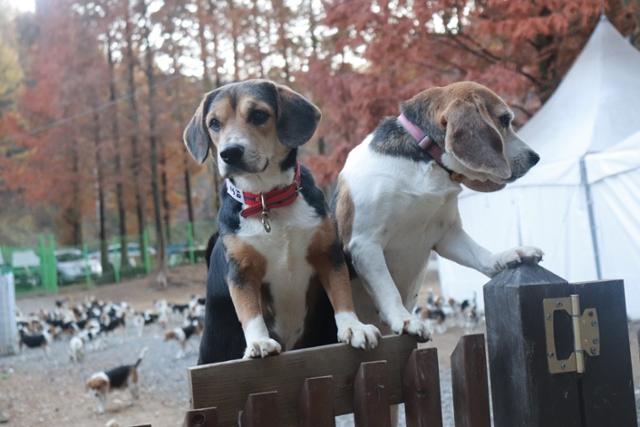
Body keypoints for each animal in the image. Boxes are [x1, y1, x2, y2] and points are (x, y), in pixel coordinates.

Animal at [181, 78, 380, 362]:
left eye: (258, 115)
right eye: (214, 123)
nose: (229, 153)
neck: (267, 199)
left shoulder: (328, 254)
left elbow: (342, 293)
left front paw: (353, 327)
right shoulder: (242, 272)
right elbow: (250, 311)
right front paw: (259, 342)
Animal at [336, 81, 544, 342]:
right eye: (505, 119)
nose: (535, 157)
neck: (424, 159)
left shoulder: (446, 235)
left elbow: (481, 255)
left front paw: (509, 255)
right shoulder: (365, 244)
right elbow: (388, 289)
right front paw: (404, 319)